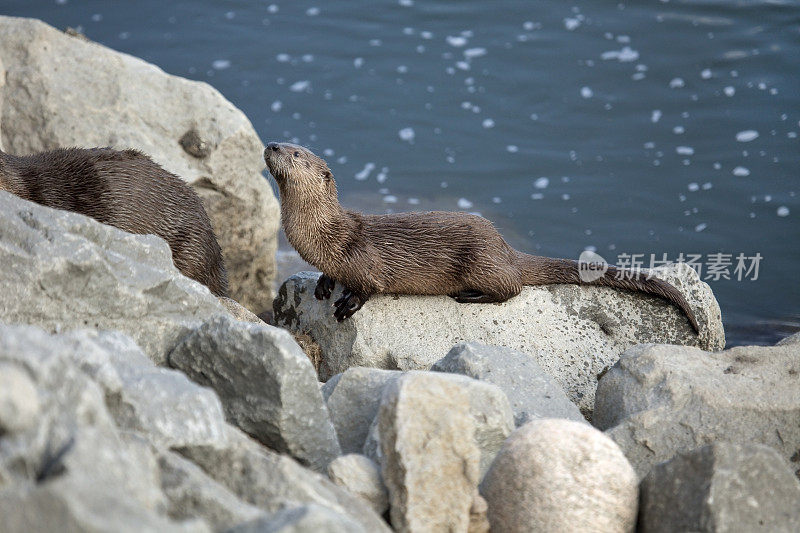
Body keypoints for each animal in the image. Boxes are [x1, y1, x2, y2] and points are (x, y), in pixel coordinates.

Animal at [264, 141, 700, 332]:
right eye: (284, 143)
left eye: (296, 153)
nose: (270, 144)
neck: (326, 235)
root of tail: (505, 247)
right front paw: (324, 285)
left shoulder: (365, 261)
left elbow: (369, 287)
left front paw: (346, 305)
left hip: (480, 260)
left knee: (513, 288)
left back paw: (470, 296)